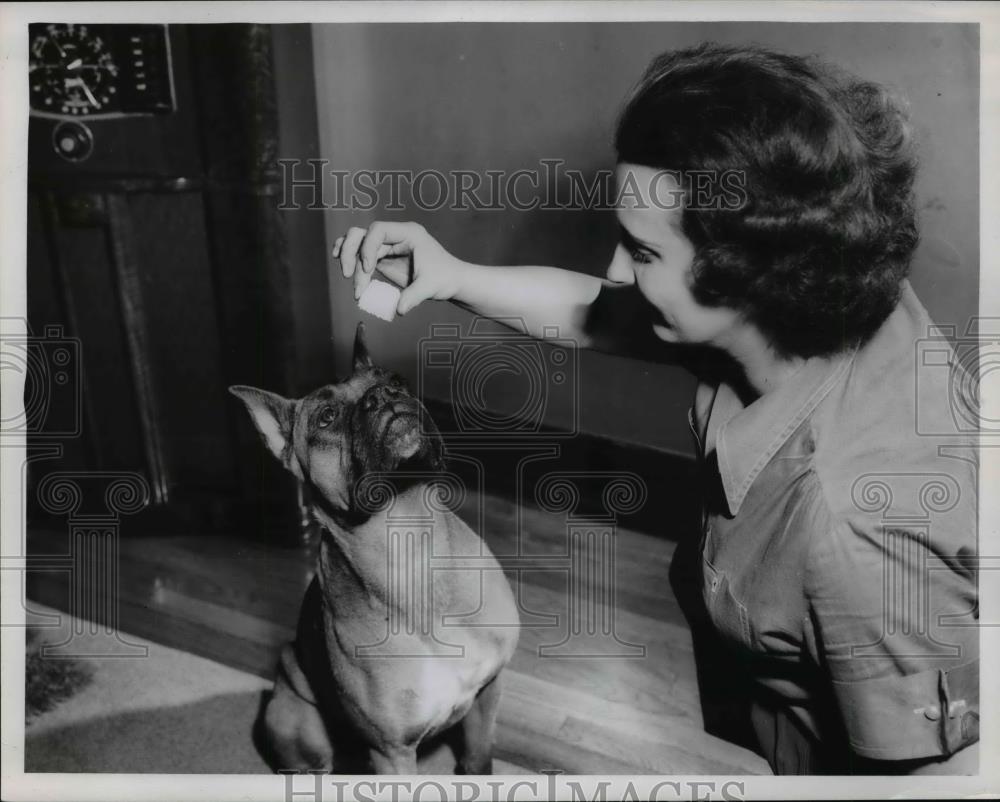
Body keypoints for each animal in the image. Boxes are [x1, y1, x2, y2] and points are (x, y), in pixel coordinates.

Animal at [229, 322, 520, 772]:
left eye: (396, 381)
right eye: (327, 417)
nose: (382, 396)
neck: (408, 538)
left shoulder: (488, 692)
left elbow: (477, 758)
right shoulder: (392, 753)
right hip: (295, 720)